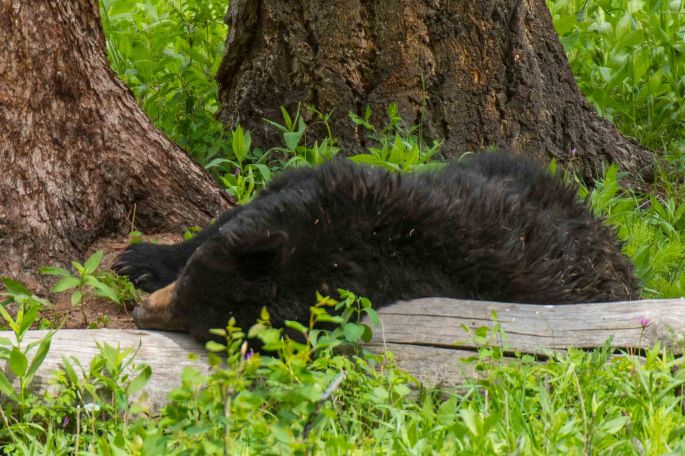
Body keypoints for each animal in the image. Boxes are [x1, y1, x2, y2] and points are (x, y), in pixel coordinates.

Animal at [113, 152, 639, 342]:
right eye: (191, 280)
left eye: (203, 324)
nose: (141, 314)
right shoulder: (329, 180)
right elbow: (226, 217)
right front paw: (142, 259)